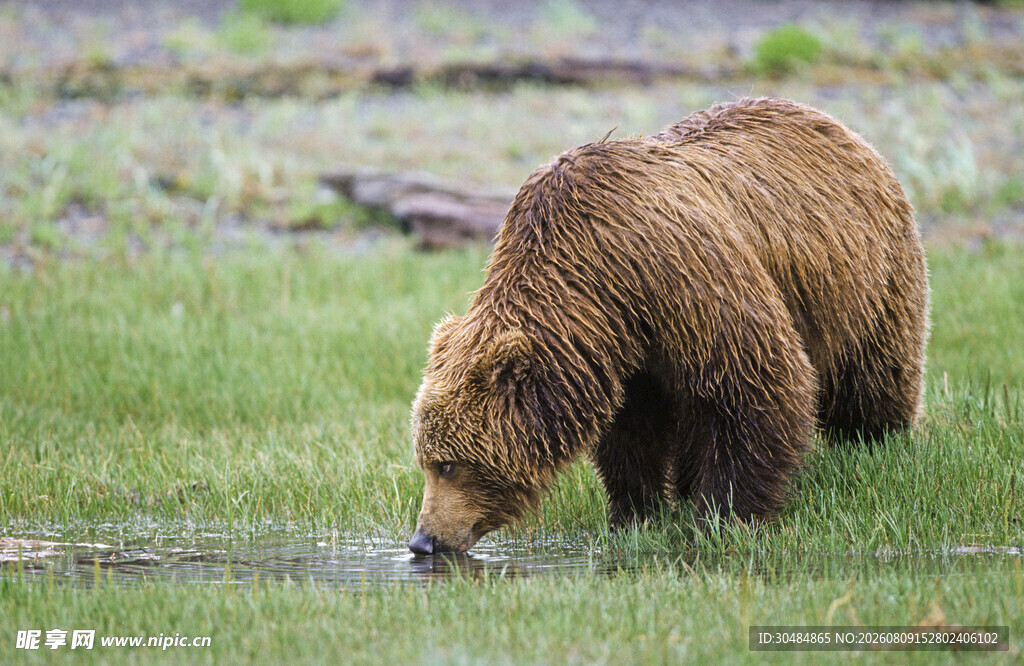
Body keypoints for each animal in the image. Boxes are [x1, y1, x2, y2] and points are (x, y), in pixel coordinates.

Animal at [408, 97, 929, 555]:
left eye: (448, 464)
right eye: (425, 459)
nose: (423, 540)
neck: (594, 282)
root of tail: (839, 127)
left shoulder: (682, 279)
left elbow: (754, 384)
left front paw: (723, 515)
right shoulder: (622, 349)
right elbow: (631, 431)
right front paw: (637, 514)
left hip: (865, 280)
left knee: (872, 373)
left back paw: (874, 442)